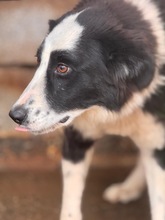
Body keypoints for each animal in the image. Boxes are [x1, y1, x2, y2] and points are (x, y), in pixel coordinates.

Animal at [8, 0, 165, 219]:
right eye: (39, 61)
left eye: (62, 68)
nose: (15, 116)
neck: (109, 107)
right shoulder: (76, 138)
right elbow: (70, 204)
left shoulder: (159, 144)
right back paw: (128, 187)